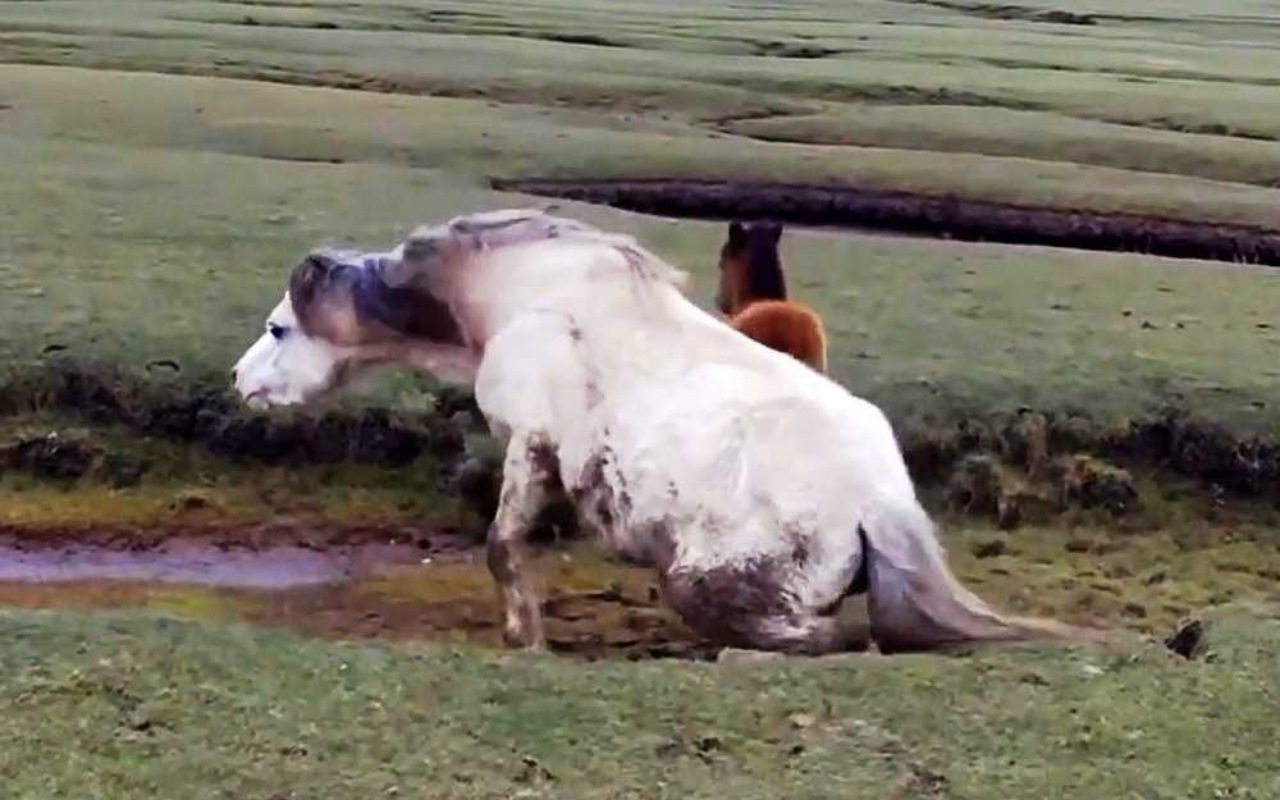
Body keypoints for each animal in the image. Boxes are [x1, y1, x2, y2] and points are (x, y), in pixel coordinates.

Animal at [232, 207, 1100, 655]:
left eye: (278, 329)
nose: (240, 383)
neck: (516, 298)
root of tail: (878, 503)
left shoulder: (529, 444)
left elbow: (501, 546)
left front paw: (525, 635)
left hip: (702, 582)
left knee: (838, 638)